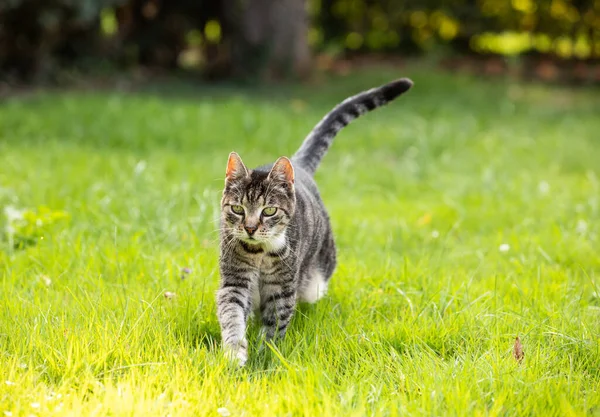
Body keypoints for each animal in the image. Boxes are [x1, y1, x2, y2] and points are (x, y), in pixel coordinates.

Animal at [218, 77, 414, 364]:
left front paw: (267, 356)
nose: (251, 228)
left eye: (269, 211)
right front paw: (235, 353)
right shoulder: (235, 280)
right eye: (237, 209)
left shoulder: (282, 286)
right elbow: (231, 315)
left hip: (317, 279)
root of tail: (298, 165)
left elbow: (275, 324)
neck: (259, 253)